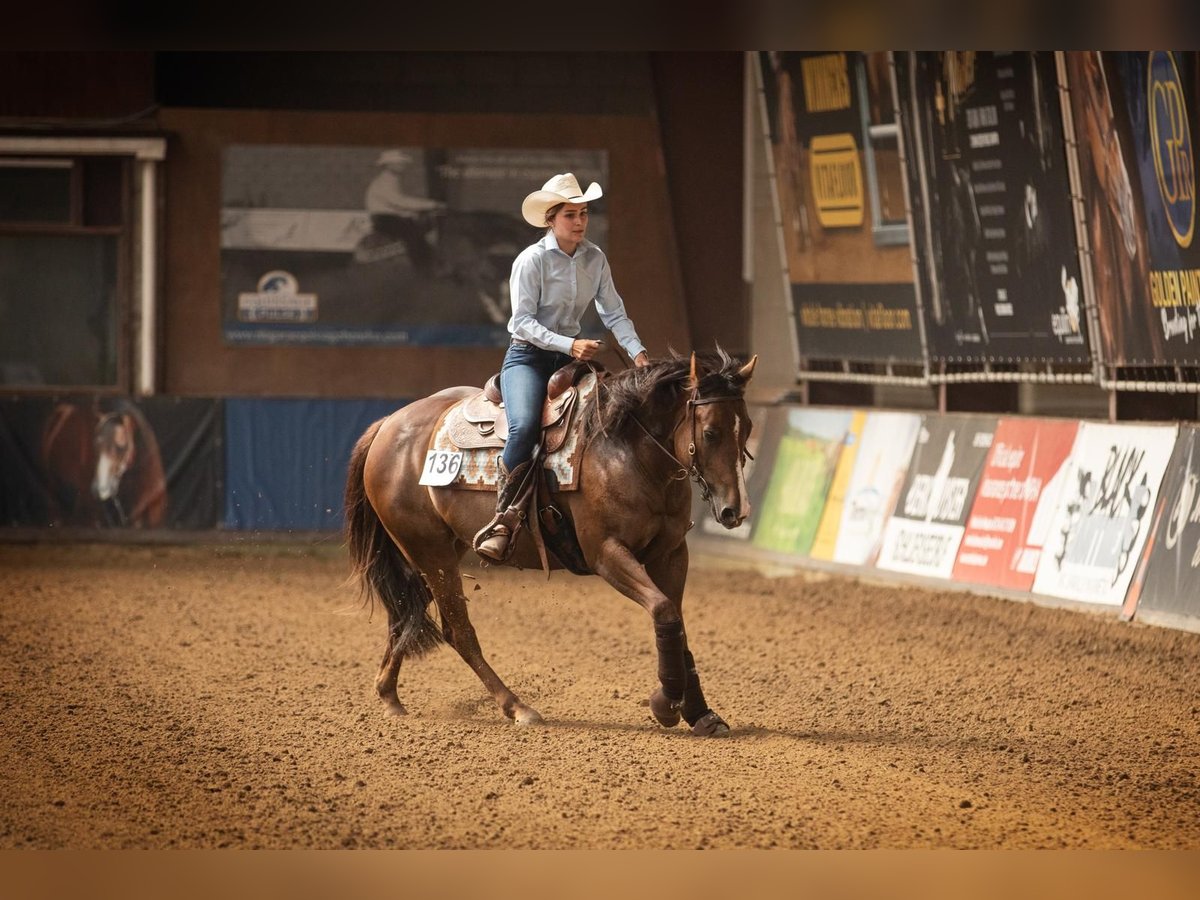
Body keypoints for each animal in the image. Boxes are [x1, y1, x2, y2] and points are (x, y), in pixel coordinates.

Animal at [348, 348, 753, 734]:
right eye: (711, 432)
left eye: (747, 429)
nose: (736, 510)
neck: (627, 450)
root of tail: (388, 425)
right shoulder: (606, 553)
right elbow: (664, 611)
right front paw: (666, 705)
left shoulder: (670, 554)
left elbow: (677, 621)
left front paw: (701, 713)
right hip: (430, 553)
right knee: (457, 631)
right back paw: (517, 707)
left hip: (440, 551)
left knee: (407, 614)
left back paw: (389, 696)